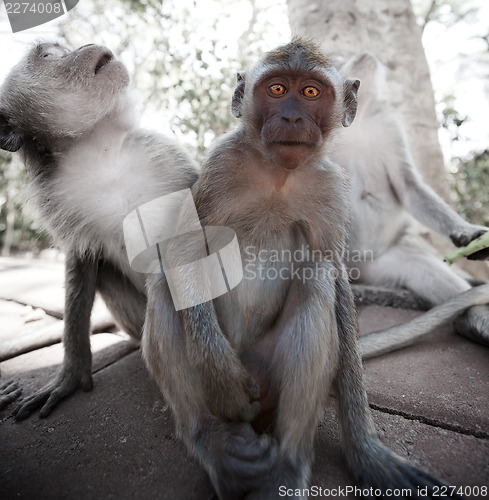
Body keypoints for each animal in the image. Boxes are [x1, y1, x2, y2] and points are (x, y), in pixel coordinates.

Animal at [0, 42, 198, 418]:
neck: (100, 150)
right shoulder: (59, 198)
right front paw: (72, 371)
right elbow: (83, 262)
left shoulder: (166, 157)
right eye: (50, 55)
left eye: (62, 48)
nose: (85, 46)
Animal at [140, 39, 458, 500]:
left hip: (269, 366)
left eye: (310, 92)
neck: (278, 175)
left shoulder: (329, 187)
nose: (291, 117)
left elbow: (333, 276)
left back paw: (286, 468)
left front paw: (366, 452)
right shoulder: (220, 166)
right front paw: (221, 379)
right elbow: (183, 249)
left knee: (315, 283)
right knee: (165, 284)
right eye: (276, 89)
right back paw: (211, 441)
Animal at [334, 51, 489, 356]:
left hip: (380, 263)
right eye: (337, 59)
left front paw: (467, 233)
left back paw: (475, 321)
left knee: (422, 267)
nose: (362, 54)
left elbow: (408, 188)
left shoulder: (391, 129)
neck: (359, 119)